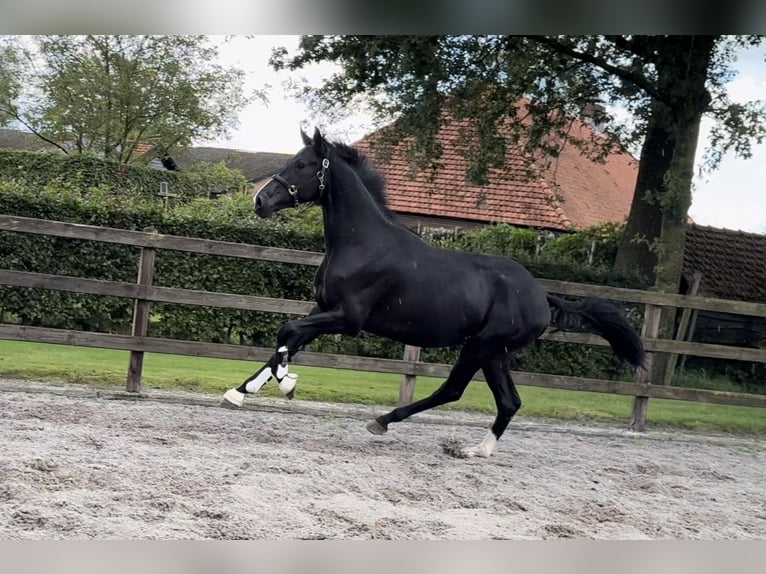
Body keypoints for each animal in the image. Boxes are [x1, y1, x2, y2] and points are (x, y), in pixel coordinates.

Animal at [222, 129, 648, 460]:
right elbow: (287, 340)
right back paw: (475, 451)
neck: (363, 244)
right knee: (509, 402)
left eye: (303, 165)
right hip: (496, 354)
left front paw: (286, 384)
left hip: (480, 347)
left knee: (453, 390)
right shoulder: (323, 308)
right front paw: (239, 392)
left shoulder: (349, 318)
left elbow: (287, 333)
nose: (259, 201)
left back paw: (383, 421)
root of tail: (543, 297)